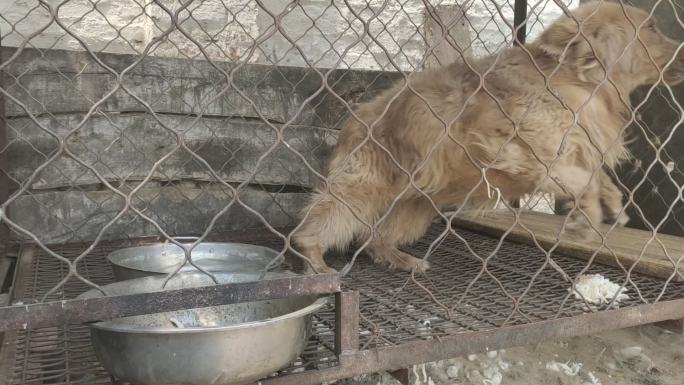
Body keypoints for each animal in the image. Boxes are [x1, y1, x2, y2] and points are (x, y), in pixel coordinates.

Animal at [294, 2, 684, 272]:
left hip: (413, 209)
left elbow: (595, 174)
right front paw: (587, 214)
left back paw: (402, 259)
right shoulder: (514, 151)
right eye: (651, 27)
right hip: (355, 196)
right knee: (312, 231)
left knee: (373, 238)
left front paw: (612, 203)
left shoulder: (575, 147)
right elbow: (581, 180)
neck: (579, 83)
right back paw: (317, 265)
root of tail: (351, 123)